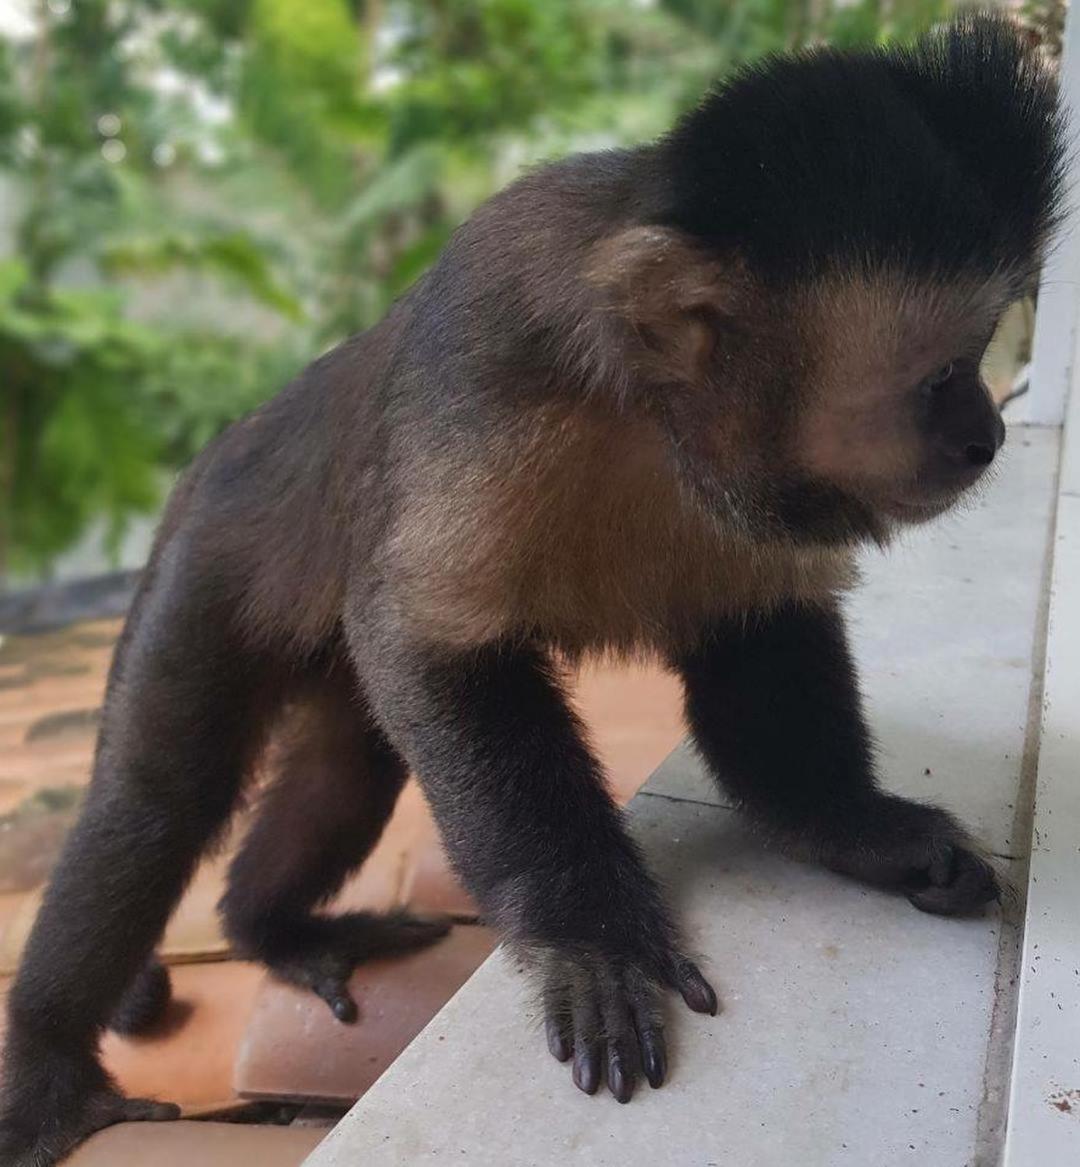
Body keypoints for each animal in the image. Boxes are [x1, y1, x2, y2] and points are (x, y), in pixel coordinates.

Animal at [0, 11, 1060, 1167]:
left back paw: (268, 930)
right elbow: (426, 647)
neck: (645, 403)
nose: (987, 433)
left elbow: (757, 637)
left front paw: (855, 828)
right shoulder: (488, 367)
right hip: (210, 552)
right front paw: (590, 936)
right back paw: (50, 1069)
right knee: (153, 801)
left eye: (981, 357)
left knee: (345, 766)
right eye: (944, 377)